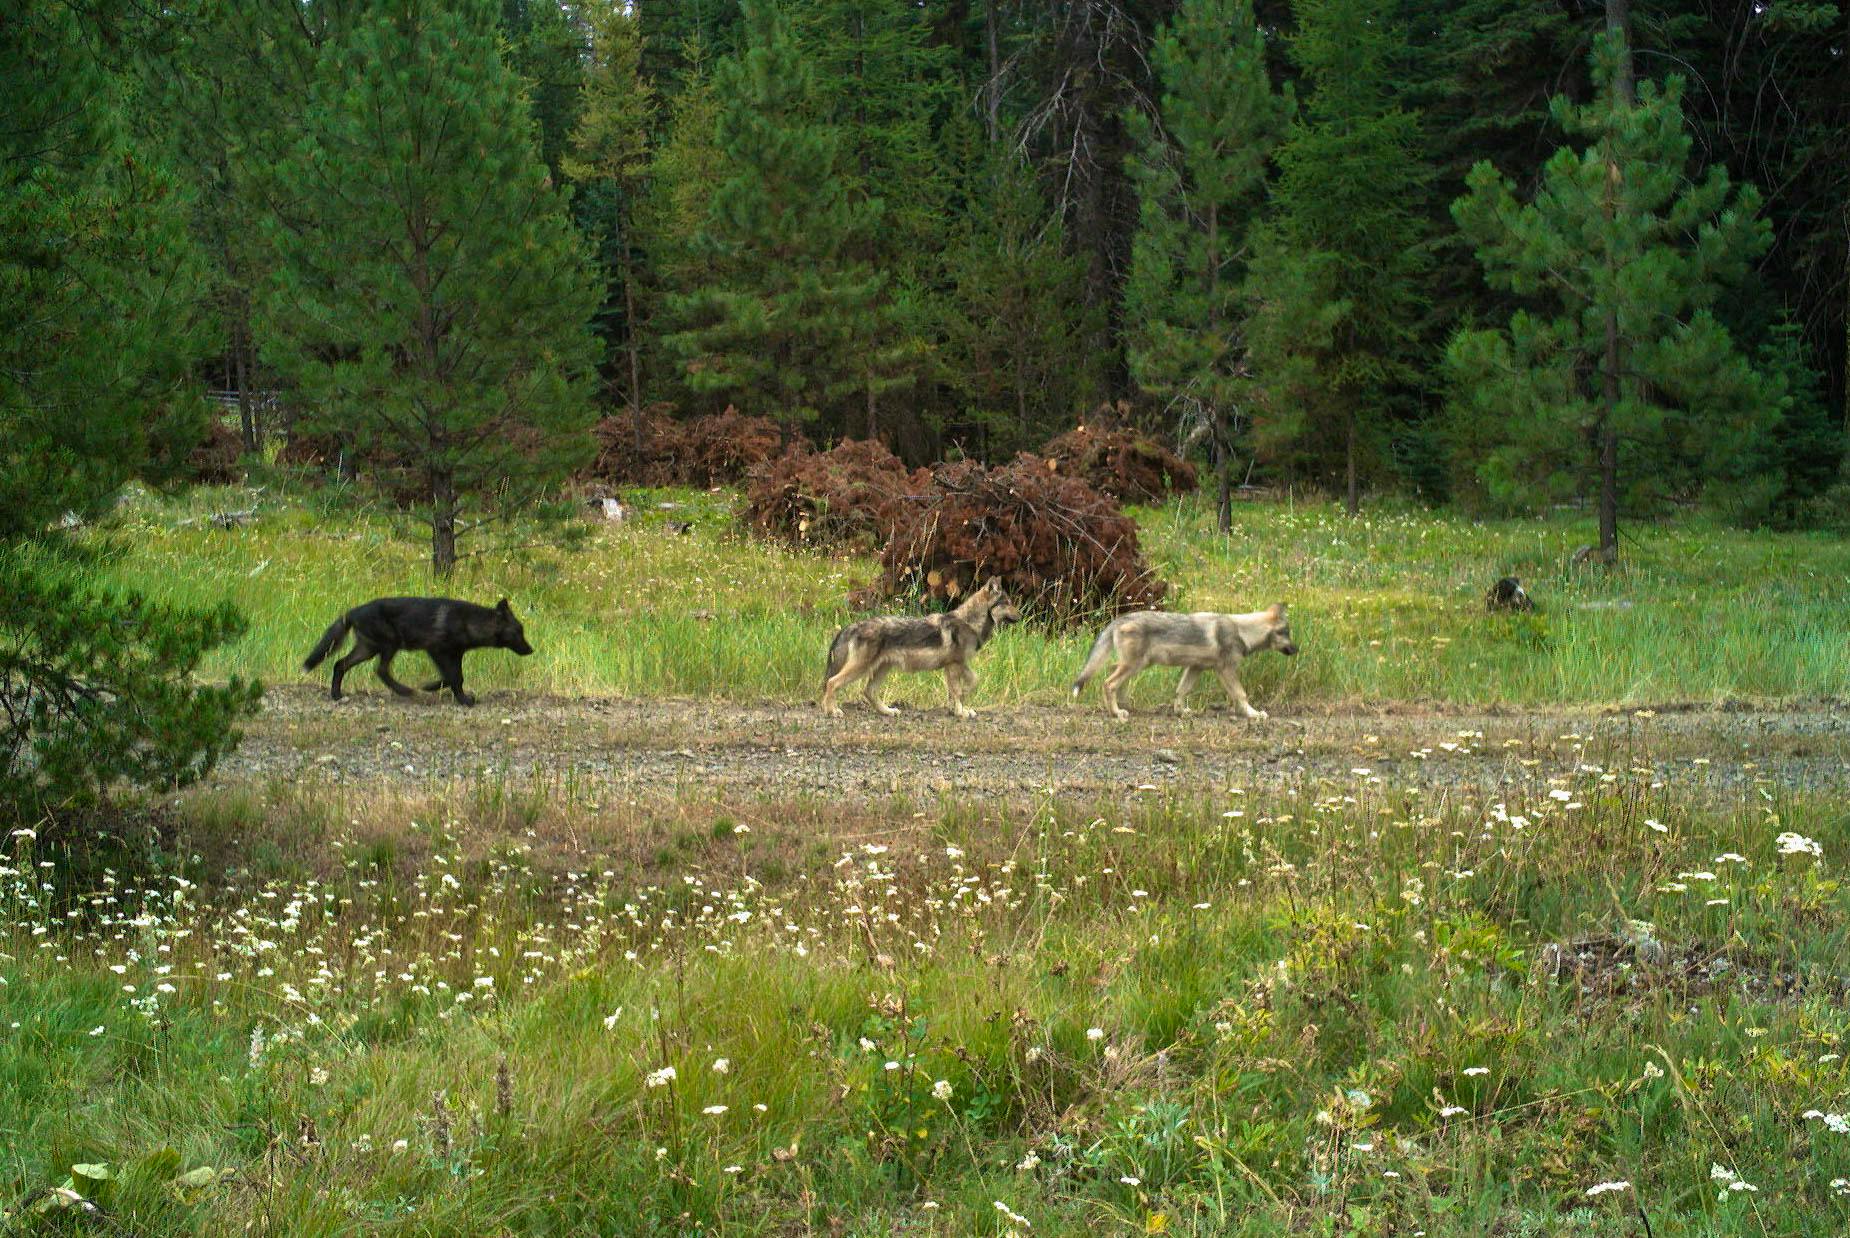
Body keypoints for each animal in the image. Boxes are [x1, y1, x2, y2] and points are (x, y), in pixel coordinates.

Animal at [302, 596, 534, 706]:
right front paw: (463, 700)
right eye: (519, 632)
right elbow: (455, 678)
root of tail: (351, 612)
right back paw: (404, 691)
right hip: (388, 645)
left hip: (369, 649)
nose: (531, 650)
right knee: (380, 670)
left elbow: (453, 677)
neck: (468, 621)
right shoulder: (437, 650)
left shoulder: (455, 654)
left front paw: (436, 688)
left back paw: (336, 695)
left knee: (340, 664)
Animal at [821, 578, 1021, 718]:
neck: (970, 623)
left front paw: (958, 709)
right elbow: (959, 690)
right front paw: (961, 711)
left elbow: (971, 682)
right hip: (861, 668)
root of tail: (855, 625)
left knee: (868, 691)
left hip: (882, 668)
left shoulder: (957, 665)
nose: (1021, 616)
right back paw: (832, 711)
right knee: (832, 682)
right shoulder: (954, 665)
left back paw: (888, 711)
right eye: (1007, 603)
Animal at [1071, 605, 1297, 720]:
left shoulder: (1195, 668)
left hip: (1137, 665)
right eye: (1287, 633)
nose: (1297, 650)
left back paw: (1125, 706)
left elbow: (1181, 691)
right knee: (1108, 683)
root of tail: (1119, 619)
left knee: (1113, 679)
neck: (1243, 631)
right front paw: (1254, 714)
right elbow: (1241, 695)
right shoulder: (1226, 670)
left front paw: (1181, 712)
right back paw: (1116, 713)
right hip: (1134, 665)